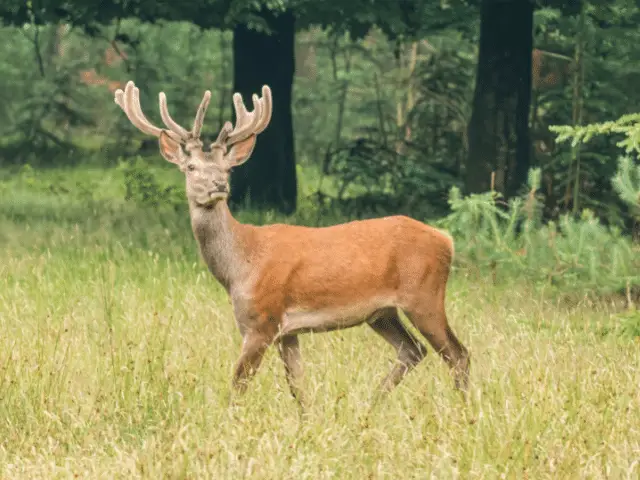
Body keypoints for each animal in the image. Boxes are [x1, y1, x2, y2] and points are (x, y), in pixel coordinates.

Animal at [113, 80, 470, 408]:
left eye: (228, 168)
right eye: (191, 167)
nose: (218, 185)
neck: (240, 265)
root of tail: (446, 239)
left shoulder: (262, 319)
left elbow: (238, 384)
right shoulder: (288, 331)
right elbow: (298, 387)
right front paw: (308, 419)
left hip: (424, 295)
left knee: (458, 353)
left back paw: (461, 406)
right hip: (382, 312)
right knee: (413, 350)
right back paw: (369, 404)